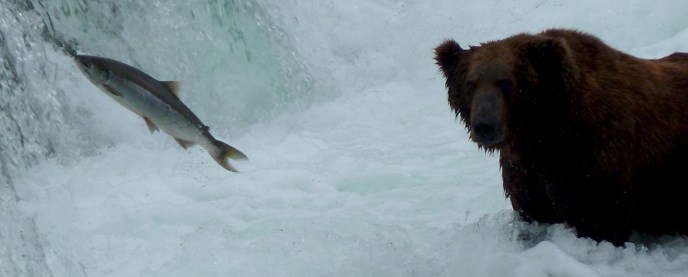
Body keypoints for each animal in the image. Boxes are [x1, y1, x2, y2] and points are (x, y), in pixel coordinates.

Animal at [436, 28, 688, 244]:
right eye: (470, 83)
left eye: (506, 82)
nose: (484, 126)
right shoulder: (526, 171)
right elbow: (534, 210)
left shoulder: (595, 159)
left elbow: (599, 218)